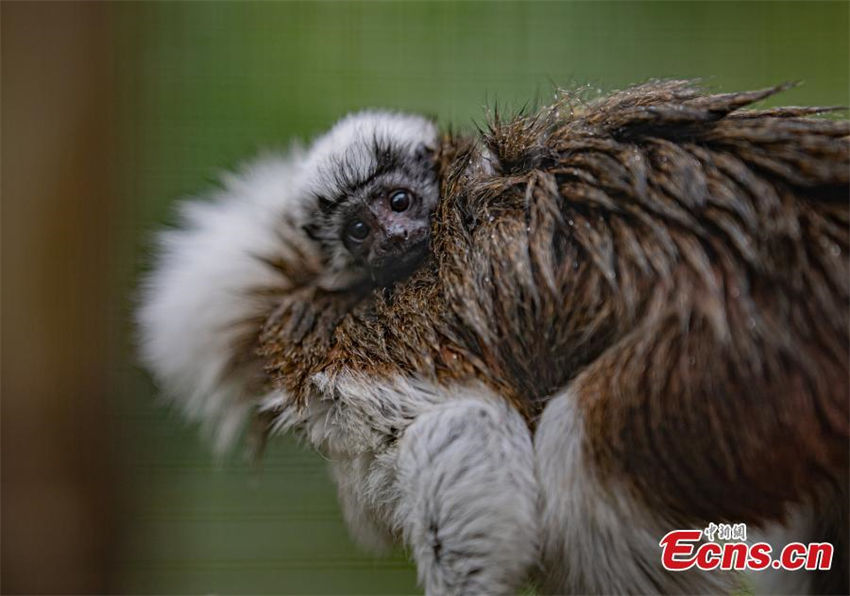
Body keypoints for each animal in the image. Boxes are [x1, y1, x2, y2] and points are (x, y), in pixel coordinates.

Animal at [138, 81, 849, 594]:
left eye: (399, 202)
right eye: (359, 228)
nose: (390, 238)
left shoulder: (370, 367)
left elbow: (467, 429)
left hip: (743, 370)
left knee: (583, 453)